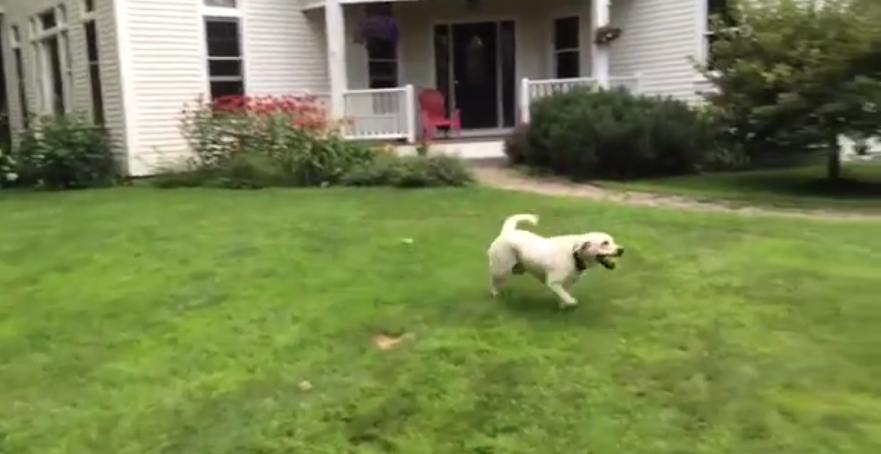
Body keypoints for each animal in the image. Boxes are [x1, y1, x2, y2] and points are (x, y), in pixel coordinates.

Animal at [484, 214, 624, 308]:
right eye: (605, 243)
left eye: (613, 241)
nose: (622, 250)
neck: (573, 255)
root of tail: (507, 232)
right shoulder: (554, 282)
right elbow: (567, 298)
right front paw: (571, 303)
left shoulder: (568, 283)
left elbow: (564, 295)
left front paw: (563, 305)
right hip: (501, 269)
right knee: (493, 280)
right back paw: (495, 293)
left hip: (514, 269)